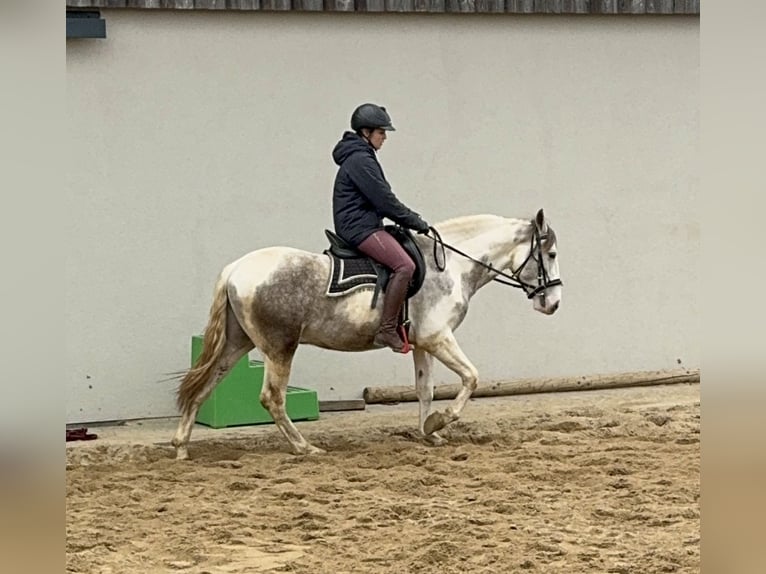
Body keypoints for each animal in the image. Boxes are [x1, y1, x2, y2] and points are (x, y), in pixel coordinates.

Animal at [171, 209, 560, 462]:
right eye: (551, 253)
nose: (553, 303)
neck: (449, 266)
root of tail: (237, 268)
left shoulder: (423, 344)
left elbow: (425, 389)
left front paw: (429, 432)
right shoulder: (439, 338)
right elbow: (471, 378)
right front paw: (439, 421)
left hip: (238, 343)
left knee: (203, 386)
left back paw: (181, 447)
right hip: (279, 348)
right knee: (272, 398)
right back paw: (304, 448)